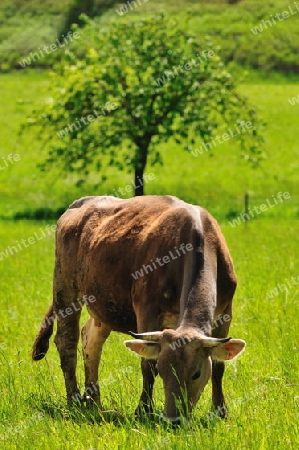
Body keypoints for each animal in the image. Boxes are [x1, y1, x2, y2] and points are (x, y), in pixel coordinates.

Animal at [32, 195, 246, 424]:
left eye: (196, 374)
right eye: (163, 370)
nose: (174, 420)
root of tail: (82, 202)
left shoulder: (225, 312)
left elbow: (219, 366)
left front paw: (220, 411)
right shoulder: (147, 310)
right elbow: (147, 365)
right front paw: (143, 410)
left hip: (102, 306)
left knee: (91, 341)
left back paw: (94, 403)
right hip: (65, 288)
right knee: (67, 341)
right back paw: (73, 399)